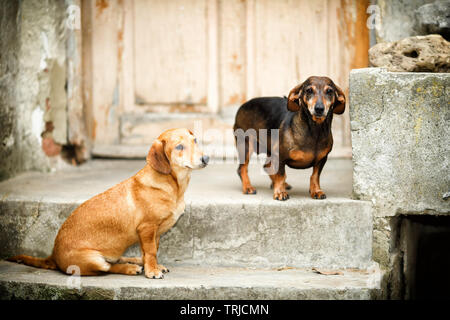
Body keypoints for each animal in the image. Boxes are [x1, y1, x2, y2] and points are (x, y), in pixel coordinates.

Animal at [8, 129, 209, 278]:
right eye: (179, 147)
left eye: (195, 140)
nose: (206, 159)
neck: (173, 185)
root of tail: (53, 256)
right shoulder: (147, 228)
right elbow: (151, 251)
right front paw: (152, 270)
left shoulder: (155, 233)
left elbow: (151, 251)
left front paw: (153, 265)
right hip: (93, 259)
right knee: (108, 268)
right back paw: (131, 268)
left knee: (116, 260)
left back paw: (135, 260)